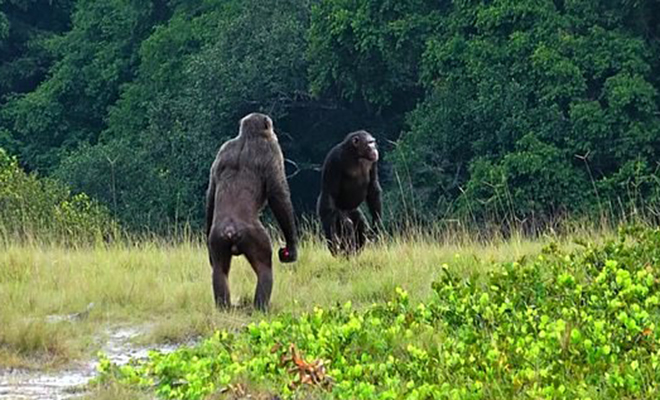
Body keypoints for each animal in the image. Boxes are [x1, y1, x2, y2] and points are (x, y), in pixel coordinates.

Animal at [206, 111, 300, 310]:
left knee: (219, 271)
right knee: (265, 269)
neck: (247, 137)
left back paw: (224, 307)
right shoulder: (272, 150)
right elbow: (278, 195)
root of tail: (230, 230)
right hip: (255, 237)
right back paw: (261, 307)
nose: (274, 131)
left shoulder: (222, 150)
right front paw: (292, 247)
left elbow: (210, 192)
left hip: (217, 238)